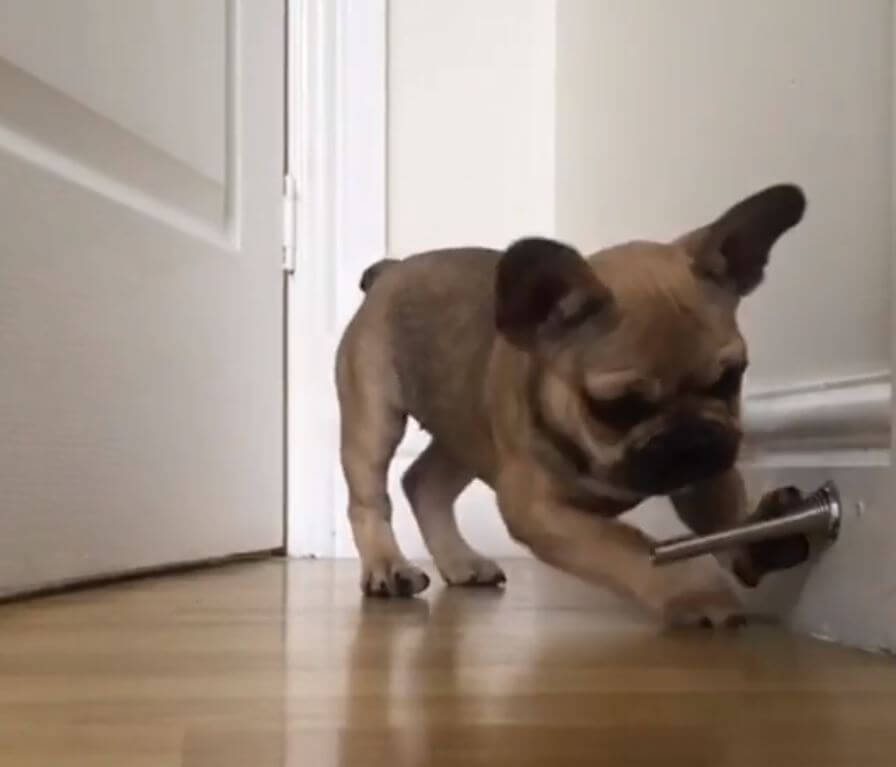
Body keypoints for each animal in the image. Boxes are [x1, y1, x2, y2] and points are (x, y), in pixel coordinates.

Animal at [335, 184, 807, 626]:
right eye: (616, 407)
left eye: (731, 378)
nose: (690, 439)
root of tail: (390, 271)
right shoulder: (539, 510)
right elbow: (629, 547)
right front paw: (694, 594)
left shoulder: (707, 473)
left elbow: (726, 517)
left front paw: (762, 540)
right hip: (375, 419)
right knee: (369, 499)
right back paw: (388, 567)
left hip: (467, 428)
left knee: (424, 482)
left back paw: (460, 561)